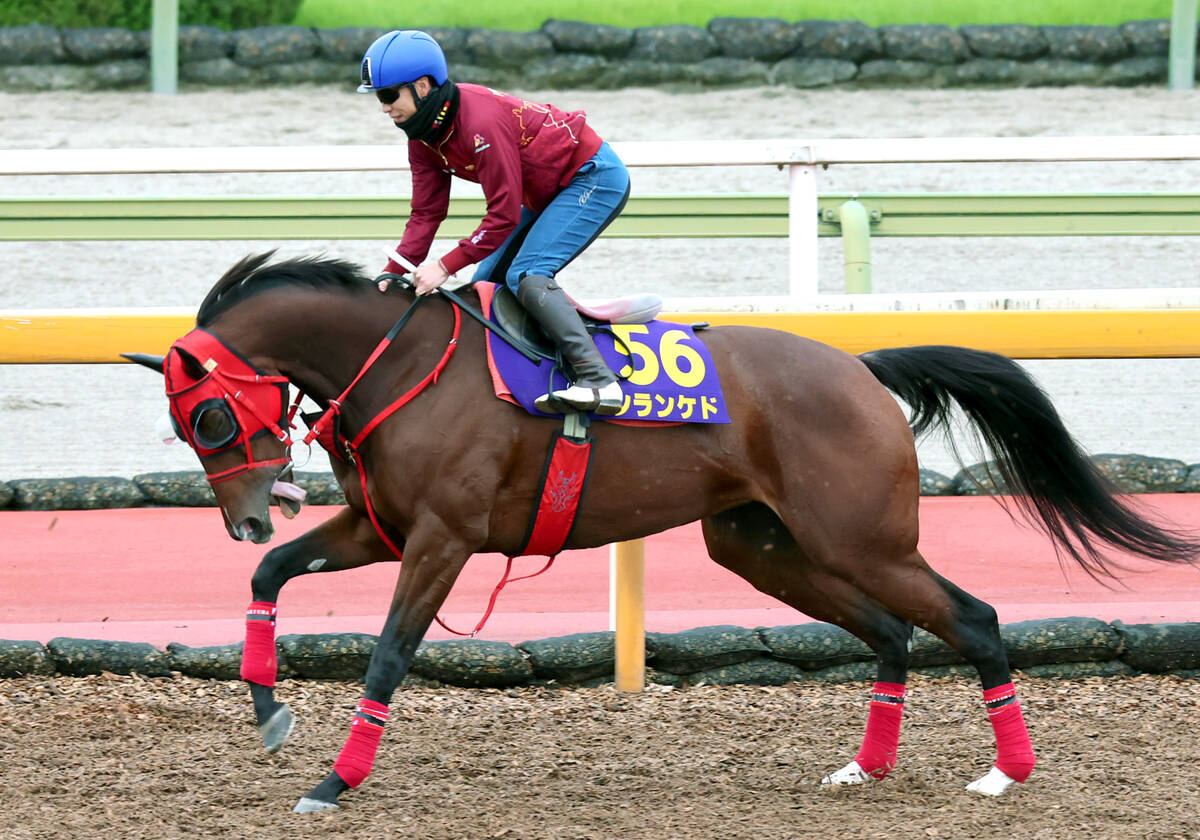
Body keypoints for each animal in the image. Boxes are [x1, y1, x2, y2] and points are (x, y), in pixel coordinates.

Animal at [124, 252, 1199, 812]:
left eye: (206, 417)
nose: (245, 512)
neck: (398, 361)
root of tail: (860, 368)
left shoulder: (441, 538)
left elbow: (388, 652)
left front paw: (335, 781)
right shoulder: (381, 526)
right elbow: (272, 575)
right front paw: (269, 711)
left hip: (863, 539)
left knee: (971, 619)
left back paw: (1005, 773)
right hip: (763, 544)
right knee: (893, 630)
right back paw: (867, 763)